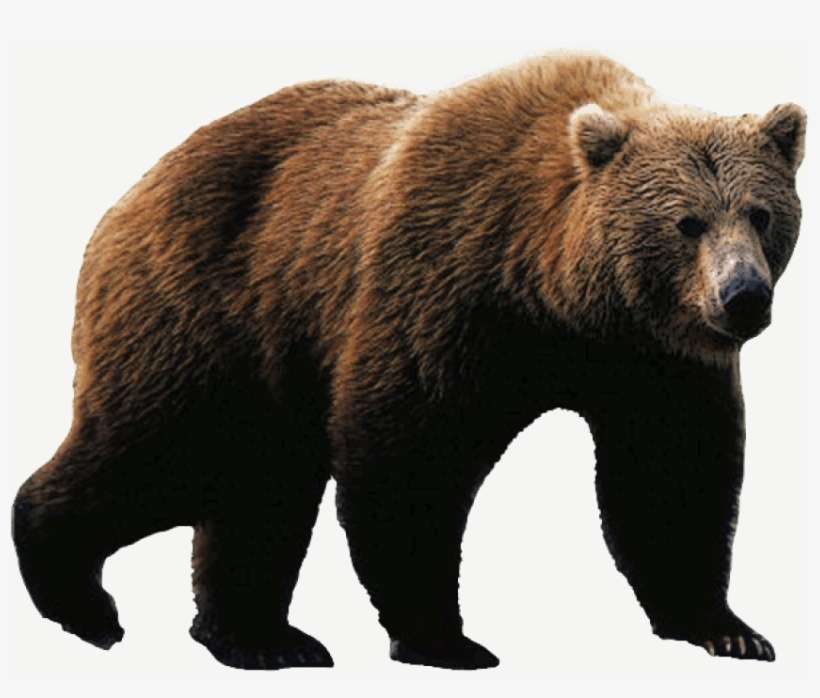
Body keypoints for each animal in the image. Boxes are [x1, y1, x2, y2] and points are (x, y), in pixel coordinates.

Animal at [12, 52, 805, 670]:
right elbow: (409, 453)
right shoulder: (446, 283)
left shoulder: (650, 358)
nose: (743, 297)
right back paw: (82, 601)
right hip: (210, 305)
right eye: (686, 222)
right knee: (164, 448)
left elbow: (670, 477)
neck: (556, 294)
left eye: (761, 213)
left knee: (258, 481)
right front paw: (446, 639)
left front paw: (729, 630)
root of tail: (132, 192)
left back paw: (260, 637)